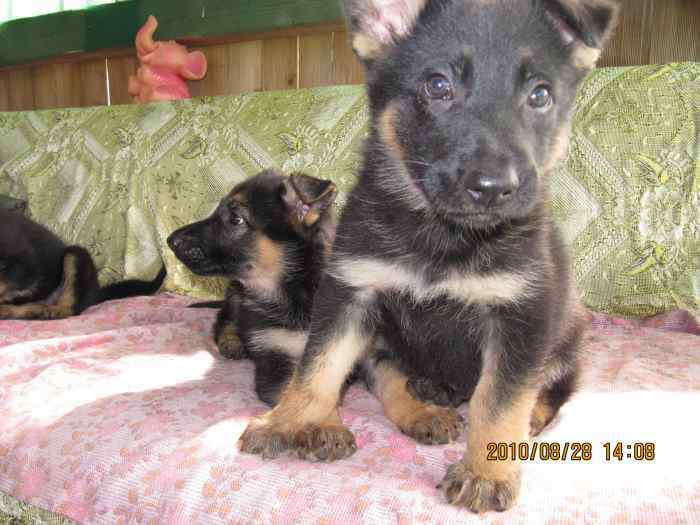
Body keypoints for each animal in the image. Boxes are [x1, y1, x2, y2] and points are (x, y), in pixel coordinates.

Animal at [167, 170, 336, 404]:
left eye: (236, 219)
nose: (170, 241)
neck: (297, 291)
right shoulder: (275, 360)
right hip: (235, 293)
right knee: (223, 320)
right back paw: (232, 342)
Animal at [239, 0, 616, 512]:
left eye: (540, 95)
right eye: (438, 86)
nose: (493, 188)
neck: (441, 235)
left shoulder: (519, 316)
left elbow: (499, 400)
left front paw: (487, 470)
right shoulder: (349, 294)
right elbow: (317, 368)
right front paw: (286, 420)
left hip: (568, 333)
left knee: (550, 388)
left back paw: (530, 417)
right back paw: (426, 399)